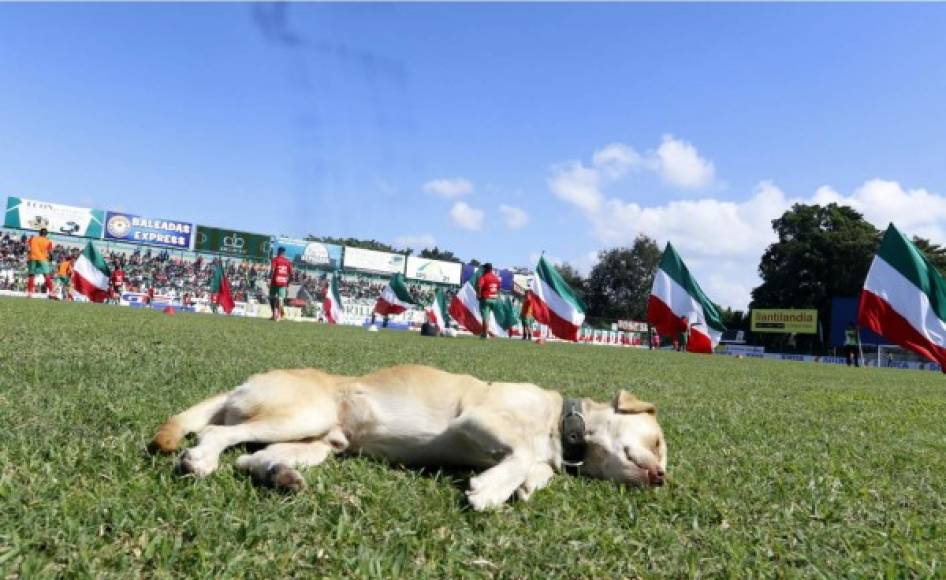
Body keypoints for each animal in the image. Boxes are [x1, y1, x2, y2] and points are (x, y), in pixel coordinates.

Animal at [151, 364, 664, 510]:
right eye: (659, 443)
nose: (661, 478)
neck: (560, 423)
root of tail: (247, 380)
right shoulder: (477, 418)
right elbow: (520, 452)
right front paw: (490, 492)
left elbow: (538, 469)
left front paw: (521, 487)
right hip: (303, 413)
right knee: (218, 432)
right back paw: (200, 461)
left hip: (321, 442)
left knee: (249, 459)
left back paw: (282, 477)